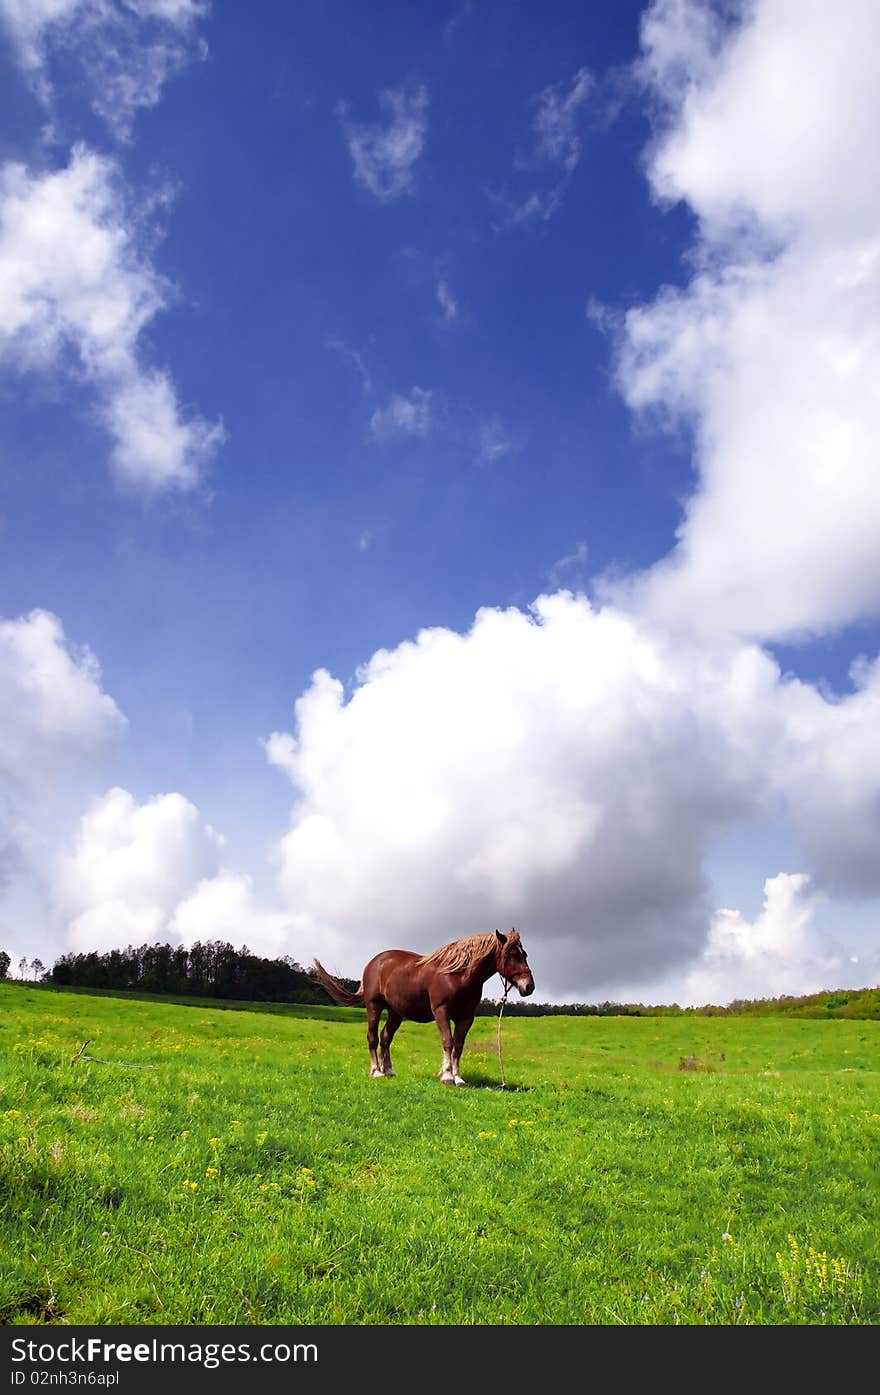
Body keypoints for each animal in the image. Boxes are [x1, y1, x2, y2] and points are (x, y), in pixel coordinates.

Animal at [313, 931, 532, 1082]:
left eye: (525, 954)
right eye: (512, 954)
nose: (529, 986)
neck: (458, 975)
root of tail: (373, 963)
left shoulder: (466, 1017)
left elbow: (459, 1046)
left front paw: (457, 1077)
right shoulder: (441, 1011)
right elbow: (448, 1042)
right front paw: (447, 1076)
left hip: (395, 1013)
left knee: (385, 1038)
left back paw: (389, 1070)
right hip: (374, 1006)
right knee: (373, 1037)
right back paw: (376, 1072)